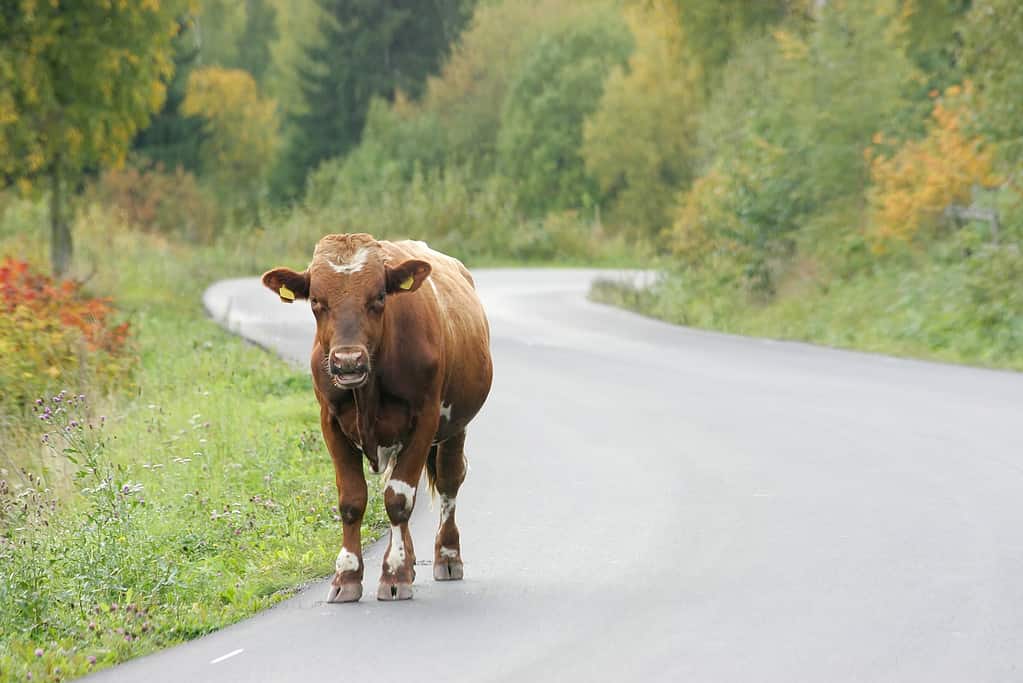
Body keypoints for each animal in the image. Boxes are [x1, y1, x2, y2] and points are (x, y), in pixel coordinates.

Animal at [261, 233, 493, 602]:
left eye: (380, 297)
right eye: (316, 301)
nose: (348, 361)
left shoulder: (425, 420)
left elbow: (399, 498)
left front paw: (394, 574)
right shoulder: (330, 423)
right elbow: (352, 499)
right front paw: (347, 575)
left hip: (456, 426)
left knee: (449, 479)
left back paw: (446, 556)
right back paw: (411, 561)